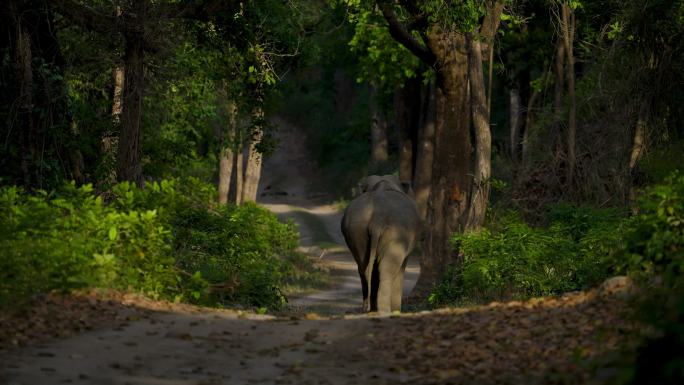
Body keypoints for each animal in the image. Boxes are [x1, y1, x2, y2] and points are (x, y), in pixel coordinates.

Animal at [342, 174, 422, 312]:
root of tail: (377, 218)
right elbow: (401, 266)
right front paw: (396, 310)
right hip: (397, 233)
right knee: (387, 268)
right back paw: (385, 309)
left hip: (357, 230)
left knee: (364, 268)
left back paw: (368, 308)